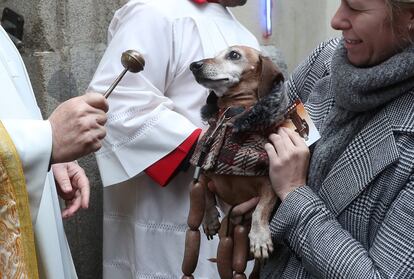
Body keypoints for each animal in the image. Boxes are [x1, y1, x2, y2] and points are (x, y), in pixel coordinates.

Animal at [183, 45, 290, 278]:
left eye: (234, 55)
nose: (194, 65)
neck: (231, 116)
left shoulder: (269, 183)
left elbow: (260, 210)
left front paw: (260, 238)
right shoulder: (204, 171)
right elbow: (205, 193)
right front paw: (210, 219)